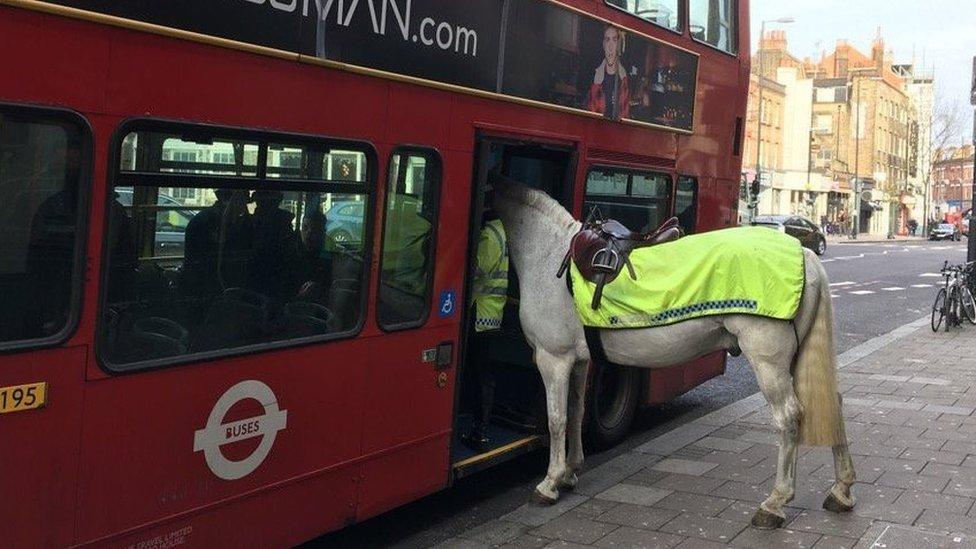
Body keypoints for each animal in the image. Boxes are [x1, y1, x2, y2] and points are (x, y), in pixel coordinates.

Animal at [492, 176, 856, 528]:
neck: (549, 254)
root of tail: (804, 254)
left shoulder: (553, 358)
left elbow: (556, 419)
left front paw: (550, 482)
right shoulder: (579, 360)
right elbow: (575, 411)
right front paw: (570, 472)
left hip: (769, 362)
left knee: (788, 417)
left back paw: (775, 503)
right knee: (832, 403)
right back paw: (841, 490)